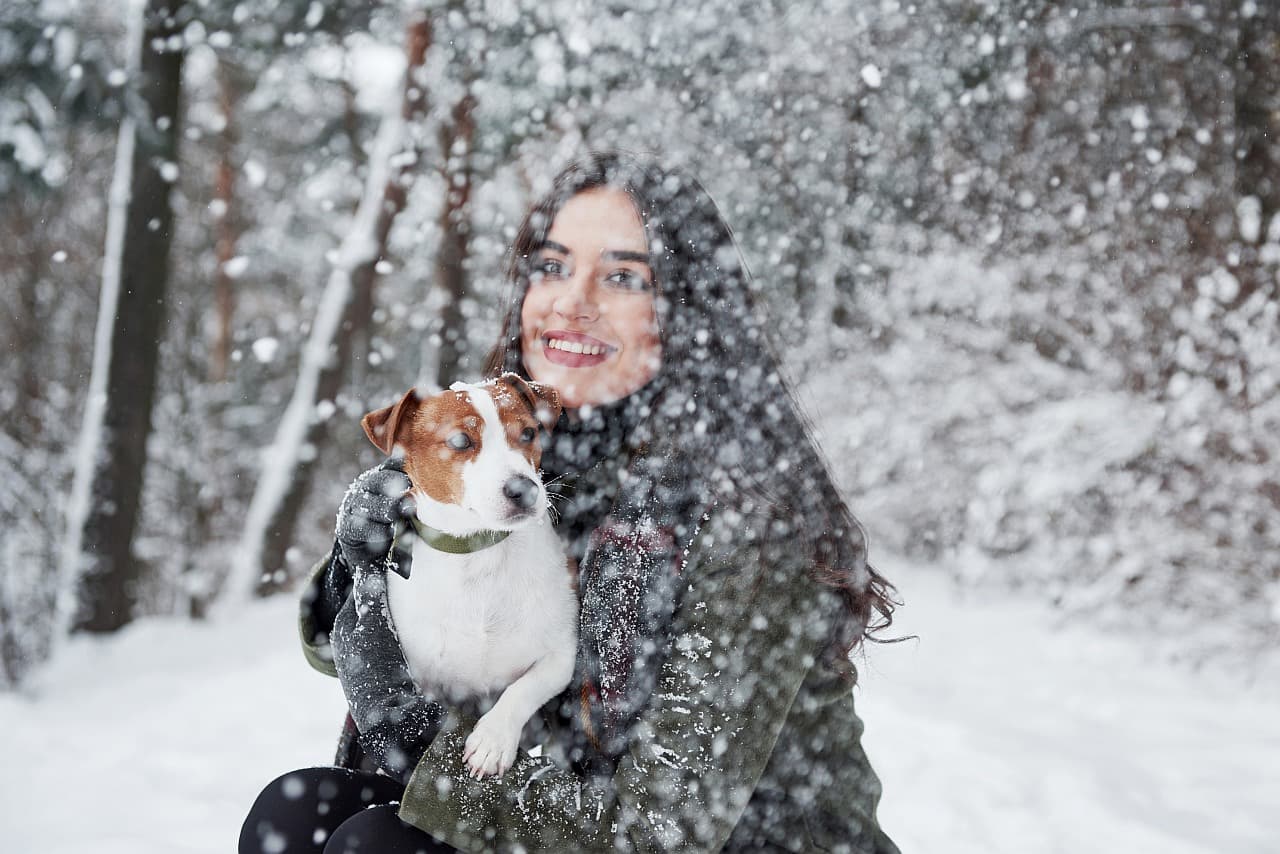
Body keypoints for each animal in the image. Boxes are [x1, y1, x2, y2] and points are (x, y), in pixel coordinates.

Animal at [363, 376, 578, 783]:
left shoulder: (561, 653)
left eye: (528, 433)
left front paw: (492, 739)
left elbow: (523, 689)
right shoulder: (422, 677)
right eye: (461, 441)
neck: (478, 554)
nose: (524, 489)